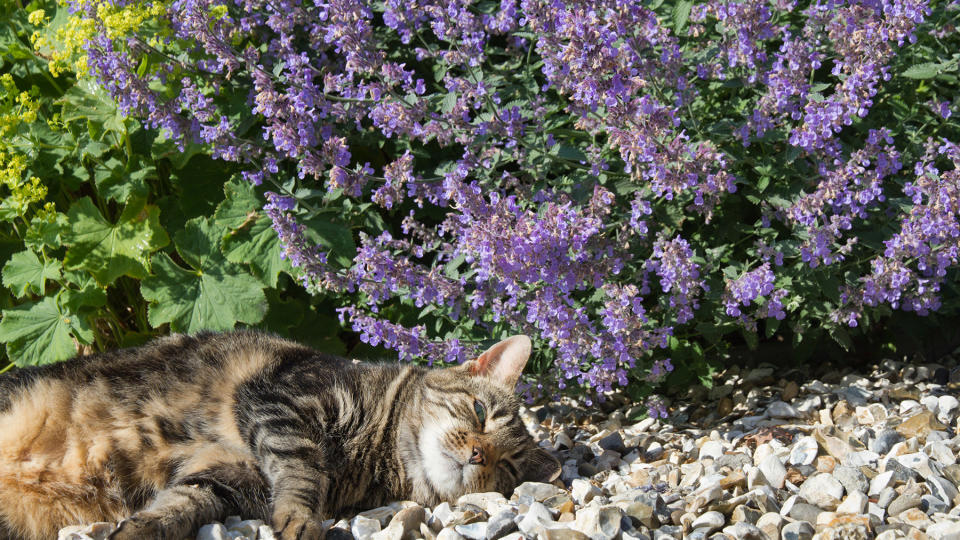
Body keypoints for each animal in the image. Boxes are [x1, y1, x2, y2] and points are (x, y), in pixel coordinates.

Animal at [0, 330, 560, 540]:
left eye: (507, 467)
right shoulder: (281, 401)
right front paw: (299, 517)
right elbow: (301, 467)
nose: (478, 454)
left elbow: (178, 505)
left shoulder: (224, 479)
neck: (377, 452)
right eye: (481, 411)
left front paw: (141, 527)